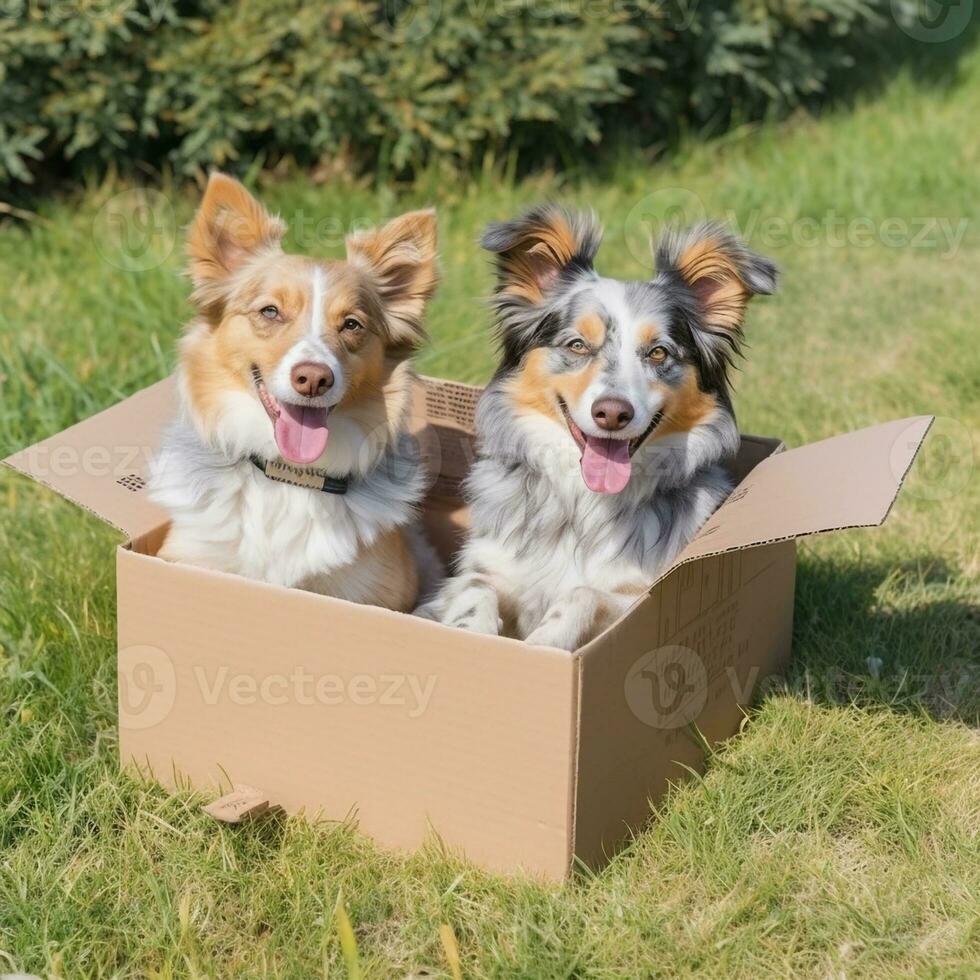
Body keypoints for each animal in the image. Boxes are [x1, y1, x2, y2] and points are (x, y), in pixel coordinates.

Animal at [418, 205, 776, 652]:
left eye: (659, 353)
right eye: (576, 345)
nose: (612, 413)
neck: (583, 504)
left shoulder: (638, 593)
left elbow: (583, 592)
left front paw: (544, 641)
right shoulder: (482, 566)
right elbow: (473, 588)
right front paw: (473, 635)